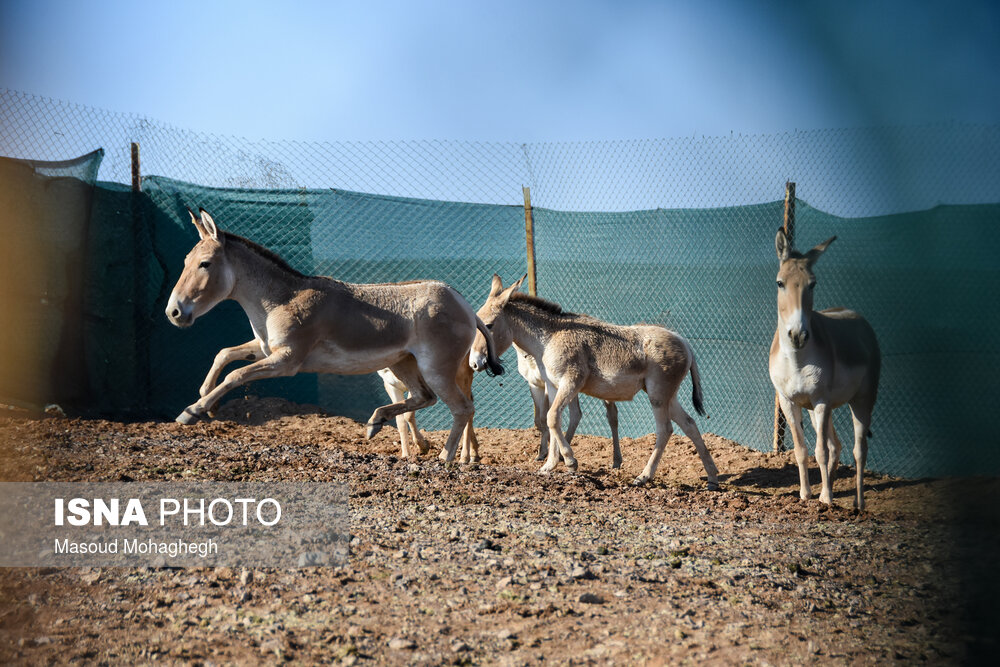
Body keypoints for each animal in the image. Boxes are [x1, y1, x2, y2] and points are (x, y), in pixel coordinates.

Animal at [169, 211, 508, 462]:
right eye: (185, 262)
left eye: (204, 264)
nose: (173, 312)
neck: (279, 298)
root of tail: (465, 304)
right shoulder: (267, 349)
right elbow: (224, 353)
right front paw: (206, 399)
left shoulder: (287, 360)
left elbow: (237, 374)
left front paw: (192, 411)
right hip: (403, 364)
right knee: (425, 397)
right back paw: (375, 422)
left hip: (435, 368)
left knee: (461, 408)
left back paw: (445, 458)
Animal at [470, 274, 720, 488]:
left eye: (489, 325)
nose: (474, 362)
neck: (549, 338)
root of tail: (685, 342)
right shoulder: (553, 386)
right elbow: (552, 420)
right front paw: (549, 465)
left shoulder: (571, 383)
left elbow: (552, 418)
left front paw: (569, 461)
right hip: (668, 397)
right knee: (689, 424)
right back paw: (712, 478)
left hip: (658, 396)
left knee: (665, 430)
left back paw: (644, 477)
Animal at [768, 231, 880, 512]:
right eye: (780, 283)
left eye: (813, 284)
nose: (797, 335)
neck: (796, 360)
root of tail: (857, 316)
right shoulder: (789, 401)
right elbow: (801, 449)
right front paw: (806, 494)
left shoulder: (821, 400)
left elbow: (820, 451)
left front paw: (827, 498)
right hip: (816, 410)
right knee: (836, 444)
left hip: (861, 401)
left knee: (858, 450)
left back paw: (858, 502)